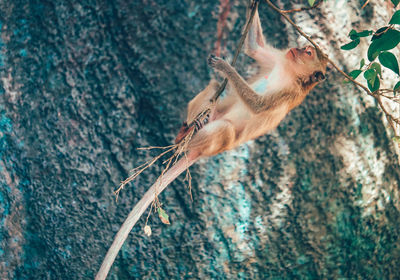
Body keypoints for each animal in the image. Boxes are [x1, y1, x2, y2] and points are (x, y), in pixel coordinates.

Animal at [95, 6, 326, 280]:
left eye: (308, 53)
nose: (297, 49)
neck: (291, 73)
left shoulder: (288, 94)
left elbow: (258, 105)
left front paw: (225, 67)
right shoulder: (279, 59)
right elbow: (254, 48)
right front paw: (253, 6)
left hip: (219, 141)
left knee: (224, 126)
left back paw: (189, 141)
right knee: (215, 89)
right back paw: (186, 131)